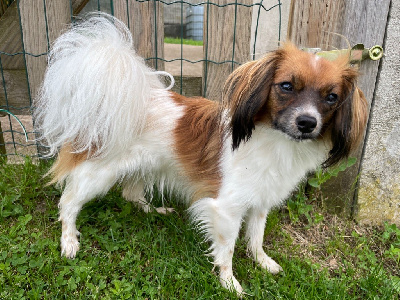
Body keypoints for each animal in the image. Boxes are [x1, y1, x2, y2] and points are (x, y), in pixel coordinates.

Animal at [36, 13, 368, 292]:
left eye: (332, 98)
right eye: (286, 86)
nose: (307, 123)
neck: (276, 141)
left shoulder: (261, 200)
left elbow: (256, 236)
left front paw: (263, 262)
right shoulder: (227, 207)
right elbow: (228, 248)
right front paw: (230, 283)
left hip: (146, 165)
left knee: (130, 193)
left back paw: (153, 210)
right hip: (99, 173)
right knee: (68, 202)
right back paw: (69, 241)